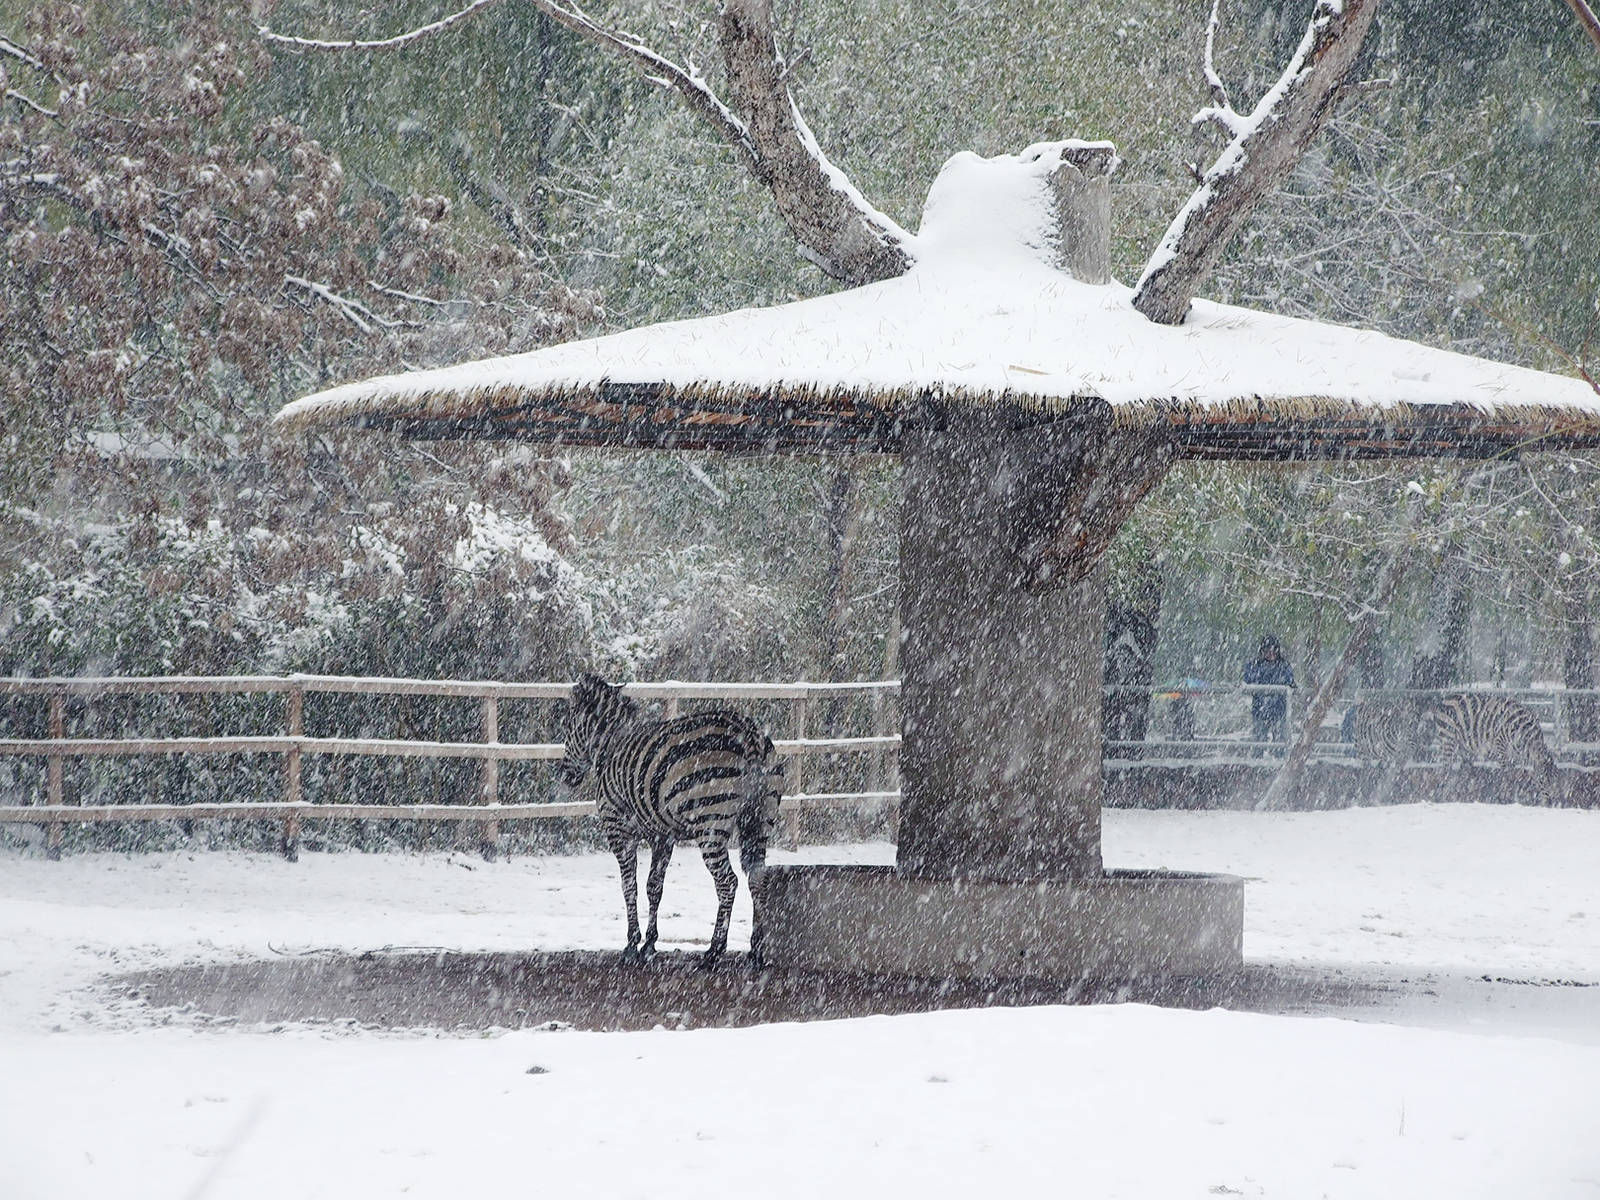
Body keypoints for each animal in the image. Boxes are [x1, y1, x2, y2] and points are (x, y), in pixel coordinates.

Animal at [554, 675, 783, 969]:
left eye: (567, 725)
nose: (566, 775)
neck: (612, 744)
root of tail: (750, 734)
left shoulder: (618, 829)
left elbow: (629, 886)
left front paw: (631, 944)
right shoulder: (662, 836)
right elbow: (654, 886)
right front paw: (650, 944)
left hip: (710, 823)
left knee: (727, 882)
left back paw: (714, 951)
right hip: (760, 821)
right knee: (758, 878)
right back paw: (756, 951)